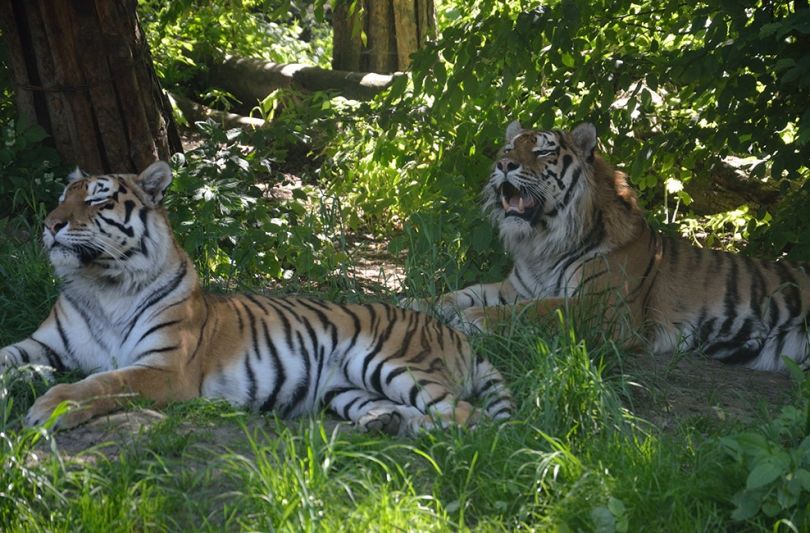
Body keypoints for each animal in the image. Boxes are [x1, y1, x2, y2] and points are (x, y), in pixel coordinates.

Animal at [0, 162, 512, 432]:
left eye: (98, 200)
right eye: (65, 196)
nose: (50, 224)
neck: (102, 285)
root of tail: (453, 332)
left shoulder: (162, 368)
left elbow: (102, 382)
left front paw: (49, 406)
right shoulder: (44, 345)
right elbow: (9, 355)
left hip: (387, 362)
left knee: (472, 416)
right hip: (344, 388)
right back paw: (388, 423)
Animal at [404, 121, 808, 372]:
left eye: (543, 152)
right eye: (508, 147)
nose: (504, 164)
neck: (542, 242)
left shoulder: (602, 307)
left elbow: (534, 311)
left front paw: (471, 320)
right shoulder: (516, 287)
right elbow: (461, 292)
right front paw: (414, 302)